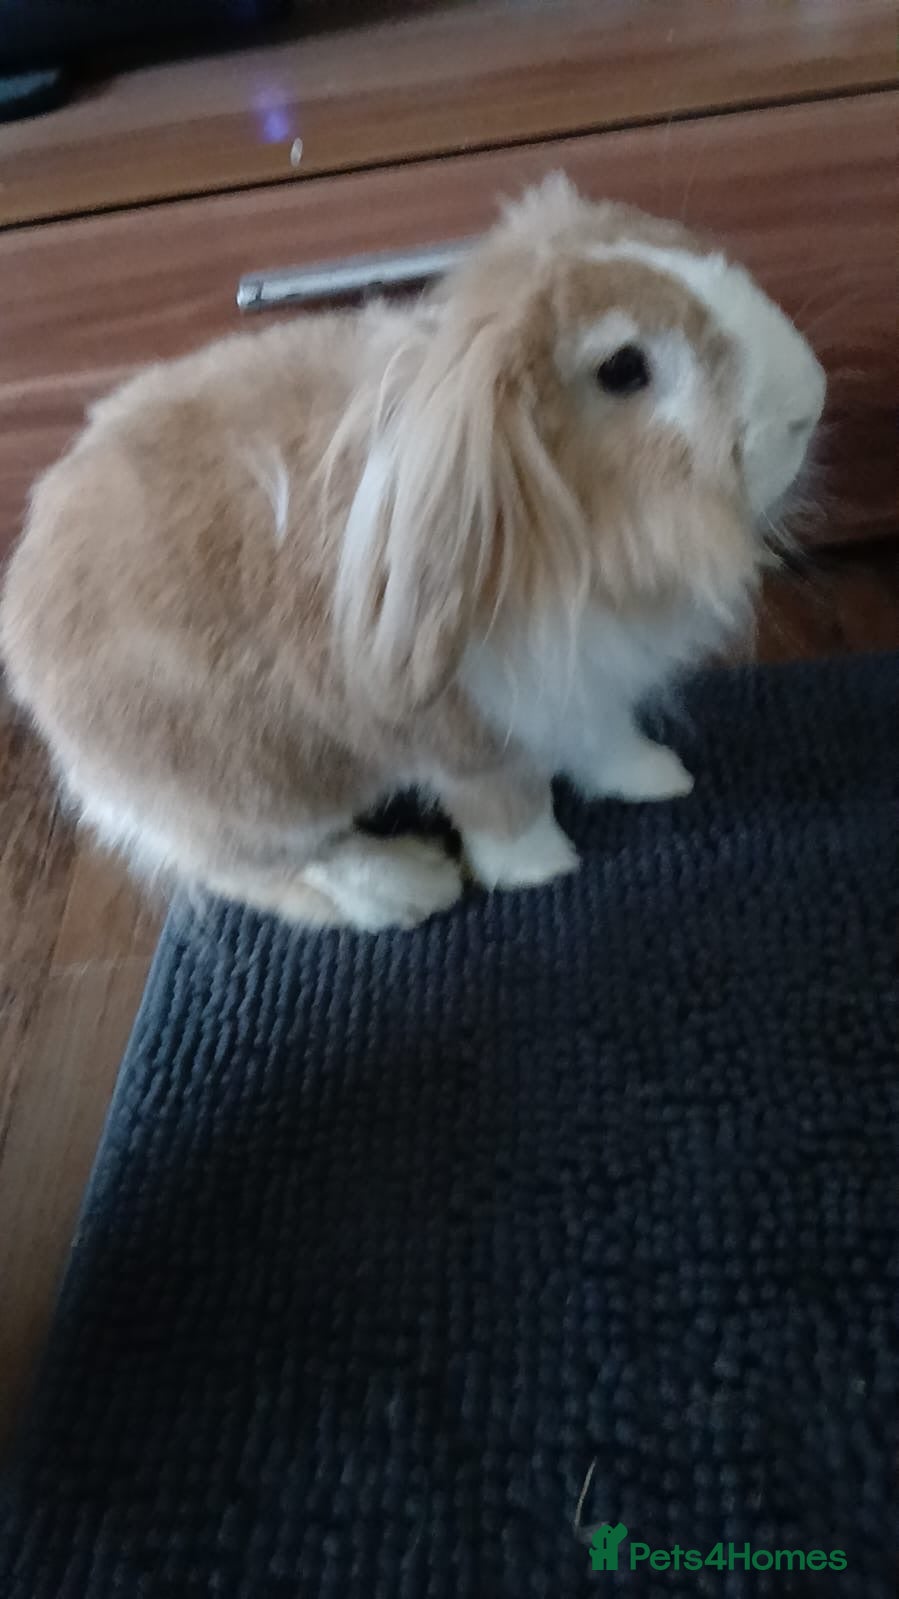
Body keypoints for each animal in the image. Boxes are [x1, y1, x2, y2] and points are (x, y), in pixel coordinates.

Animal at [0, 176, 825, 931]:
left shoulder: (582, 687)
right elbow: (505, 806)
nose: (807, 403)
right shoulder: (468, 735)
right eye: (623, 368)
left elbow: (603, 740)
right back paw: (404, 886)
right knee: (254, 868)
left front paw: (657, 778)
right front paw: (541, 870)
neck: (548, 514)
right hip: (251, 784)